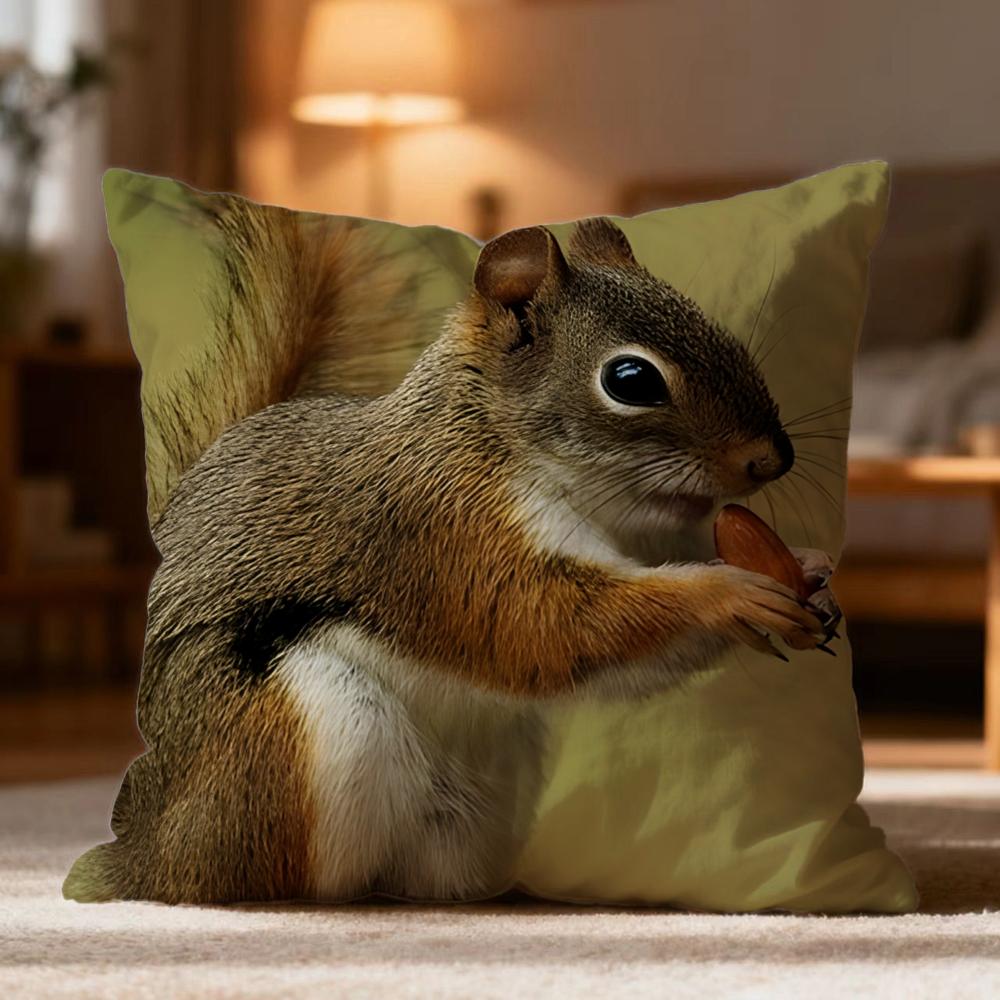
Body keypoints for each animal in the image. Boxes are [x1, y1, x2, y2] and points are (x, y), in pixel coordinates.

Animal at [65, 199, 835, 906]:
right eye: (631, 380)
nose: (773, 458)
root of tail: (148, 855)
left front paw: (808, 571)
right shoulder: (444, 531)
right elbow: (540, 625)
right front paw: (728, 592)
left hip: (472, 813)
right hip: (297, 741)